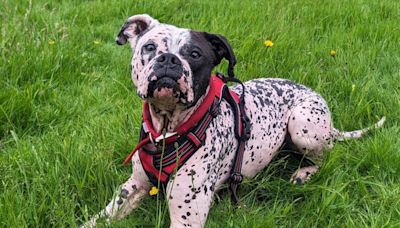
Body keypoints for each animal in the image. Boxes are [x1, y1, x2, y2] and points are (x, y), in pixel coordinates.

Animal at [83, 14, 384, 228]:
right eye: (149, 47)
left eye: (195, 54)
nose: (169, 59)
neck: (167, 131)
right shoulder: (132, 187)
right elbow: (98, 218)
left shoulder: (187, 217)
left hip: (303, 127)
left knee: (326, 157)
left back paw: (304, 173)